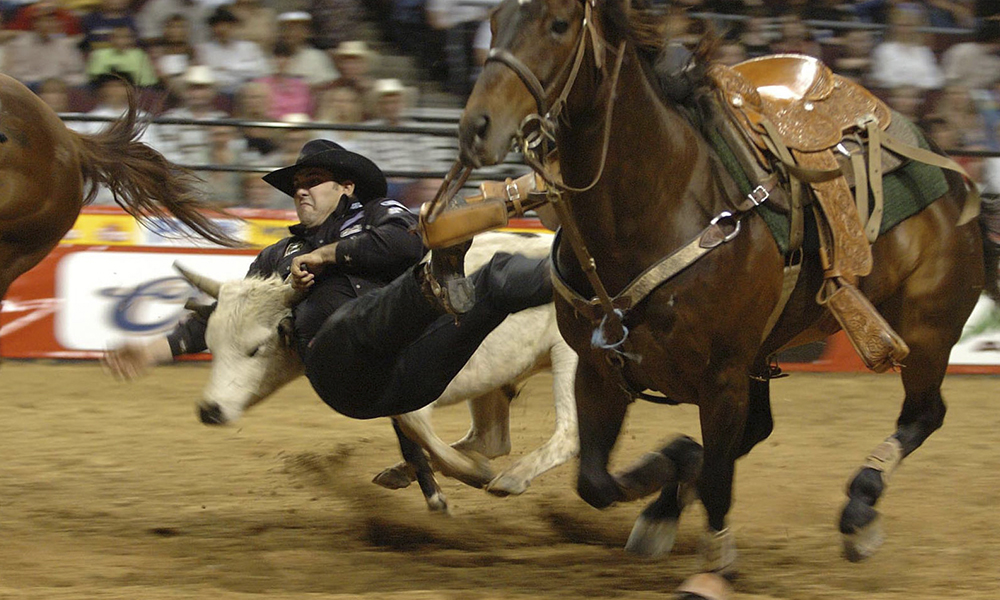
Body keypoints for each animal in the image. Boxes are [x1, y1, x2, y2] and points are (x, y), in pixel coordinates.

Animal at [458, 0, 996, 592]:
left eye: (557, 25)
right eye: (492, 20)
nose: (477, 126)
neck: (657, 205)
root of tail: (954, 176)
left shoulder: (722, 379)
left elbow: (714, 478)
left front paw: (712, 556)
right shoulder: (600, 371)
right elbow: (597, 480)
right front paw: (666, 478)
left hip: (926, 331)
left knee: (924, 415)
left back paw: (859, 511)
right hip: (766, 358)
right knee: (757, 433)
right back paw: (670, 503)